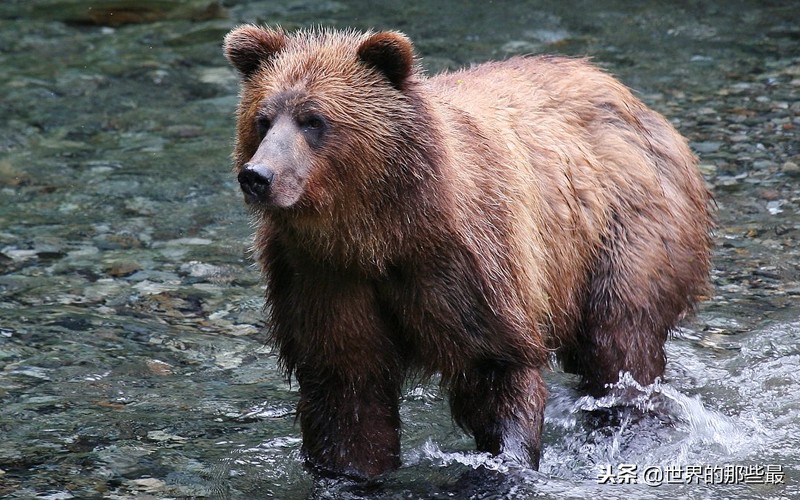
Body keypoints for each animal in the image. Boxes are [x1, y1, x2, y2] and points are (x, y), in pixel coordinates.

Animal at [220, 26, 712, 480]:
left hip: (628, 224)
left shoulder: (466, 260)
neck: (376, 235)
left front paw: (502, 464)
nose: (258, 175)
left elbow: (496, 366)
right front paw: (350, 472)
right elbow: (347, 392)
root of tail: (626, 94)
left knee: (620, 341)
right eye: (263, 118)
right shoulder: (321, 275)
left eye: (313, 120)